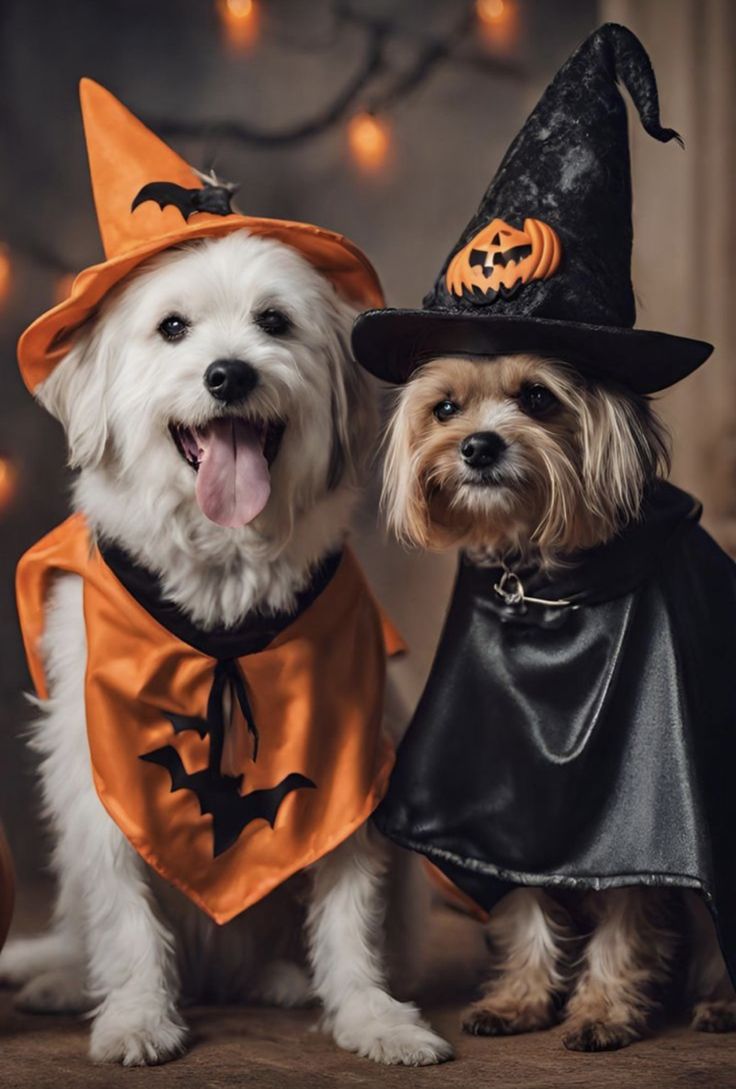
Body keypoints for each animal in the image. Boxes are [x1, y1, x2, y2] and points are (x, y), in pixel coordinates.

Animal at [0, 225, 450, 1067]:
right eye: (172, 326)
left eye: (274, 321)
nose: (229, 373)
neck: (223, 590)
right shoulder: (99, 769)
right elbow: (125, 914)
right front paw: (137, 1015)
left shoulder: (350, 767)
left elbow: (351, 912)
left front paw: (374, 1016)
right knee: (84, 927)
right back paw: (67, 980)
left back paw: (285, 978)